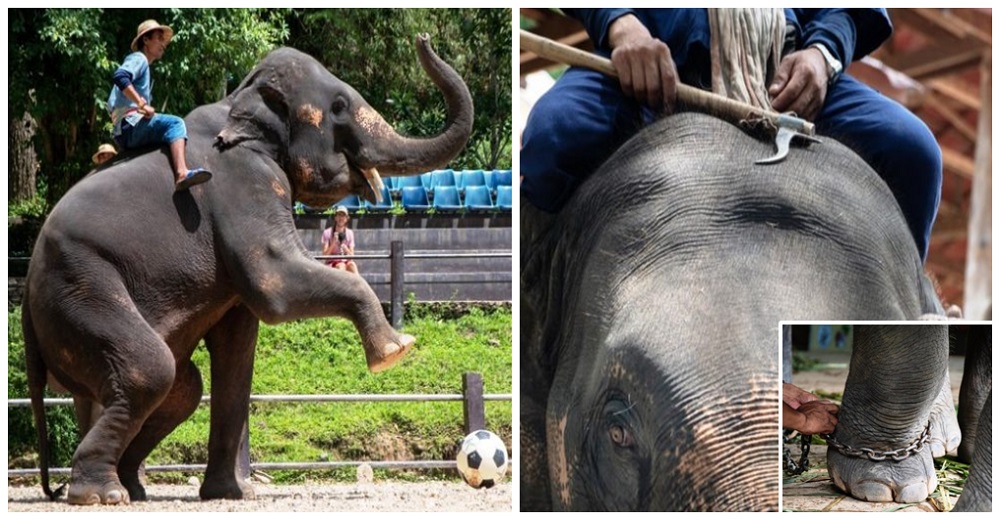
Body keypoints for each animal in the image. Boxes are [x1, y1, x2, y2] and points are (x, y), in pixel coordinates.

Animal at [24, 35, 472, 504]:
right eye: (339, 106)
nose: (423, 40)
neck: (240, 98)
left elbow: (240, 348)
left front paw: (233, 493)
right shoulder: (243, 183)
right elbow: (275, 285)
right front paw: (397, 350)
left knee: (182, 388)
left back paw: (130, 486)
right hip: (79, 286)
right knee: (151, 371)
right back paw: (103, 495)